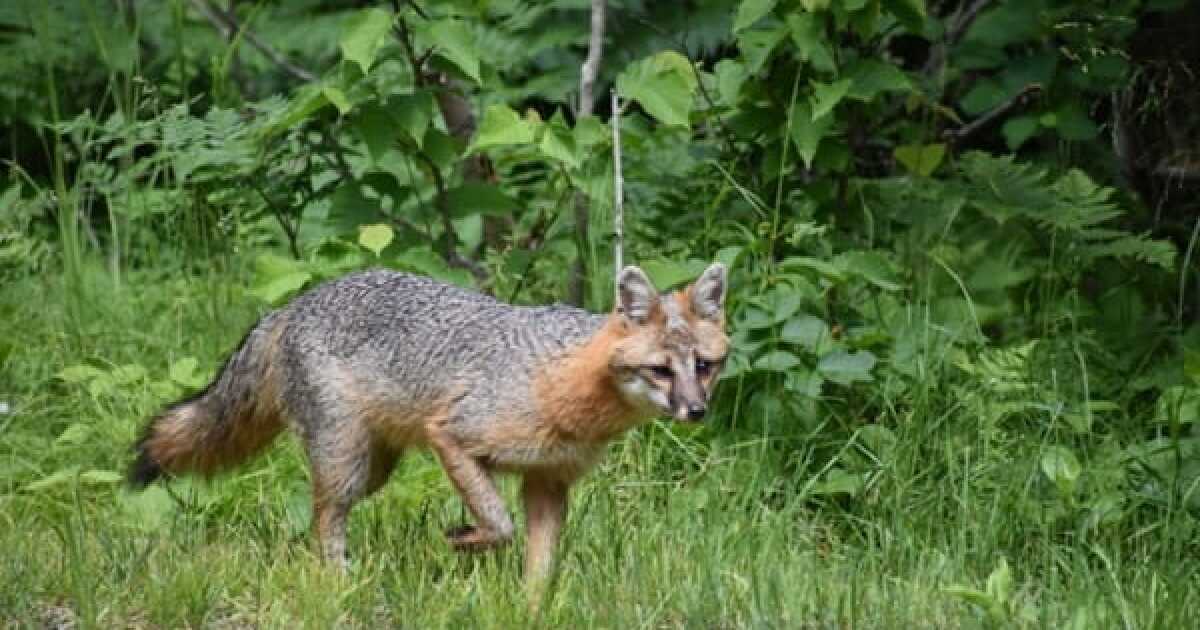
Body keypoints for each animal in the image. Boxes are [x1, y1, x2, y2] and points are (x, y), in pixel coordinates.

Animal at [128, 263, 729, 582]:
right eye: (660, 370)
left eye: (704, 366)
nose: (696, 411)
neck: (561, 380)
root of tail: (293, 304)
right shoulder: (454, 437)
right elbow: (499, 525)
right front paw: (464, 538)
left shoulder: (547, 481)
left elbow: (538, 565)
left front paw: (531, 608)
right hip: (347, 464)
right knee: (324, 519)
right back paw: (339, 581)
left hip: (374, 470)